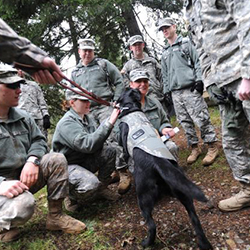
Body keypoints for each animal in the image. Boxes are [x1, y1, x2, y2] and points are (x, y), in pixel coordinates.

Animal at [117, 89, 213, 249]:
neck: (130, 107)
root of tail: (158, 162)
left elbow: (123, 150)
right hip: (183, 193)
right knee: (195, 219)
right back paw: (204, 243)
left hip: (143, 197)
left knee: (151, 225)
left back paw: (146, 242)